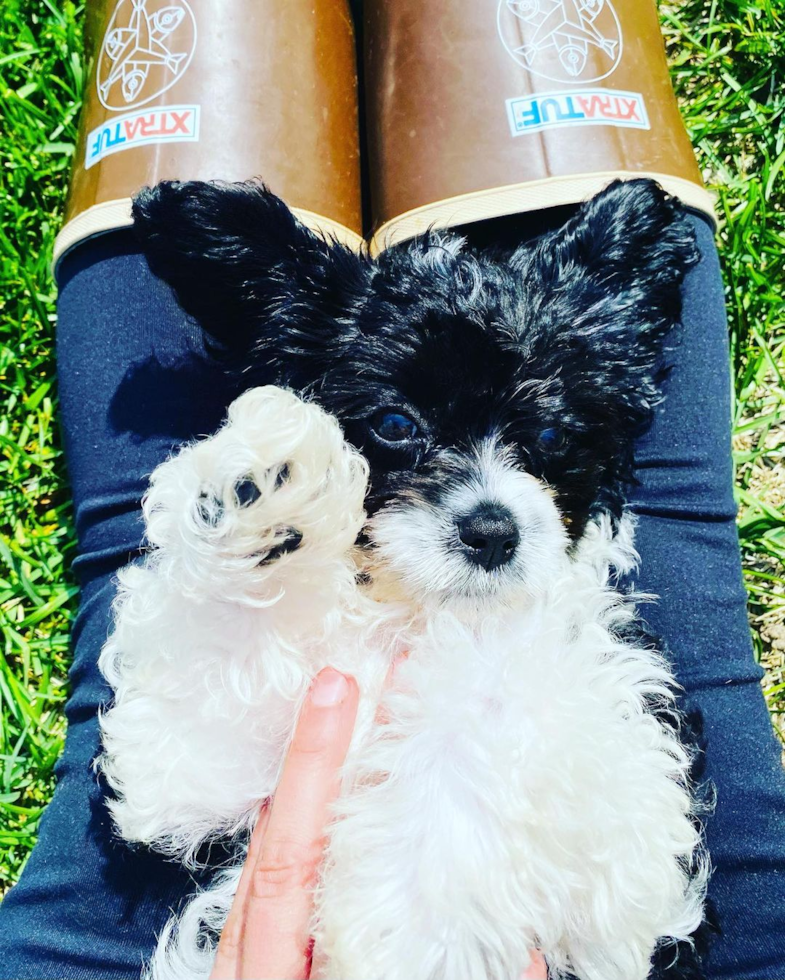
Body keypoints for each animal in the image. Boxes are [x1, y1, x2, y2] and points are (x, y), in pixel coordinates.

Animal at [98, 178, 712, 980]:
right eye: (394, 424)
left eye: (551, 436)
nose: (492, 531)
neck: (417, 611)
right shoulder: (188, 766)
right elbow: (208, 660)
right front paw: (259, 492)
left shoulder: (625, 800)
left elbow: (467, 741)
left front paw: (423, 931)